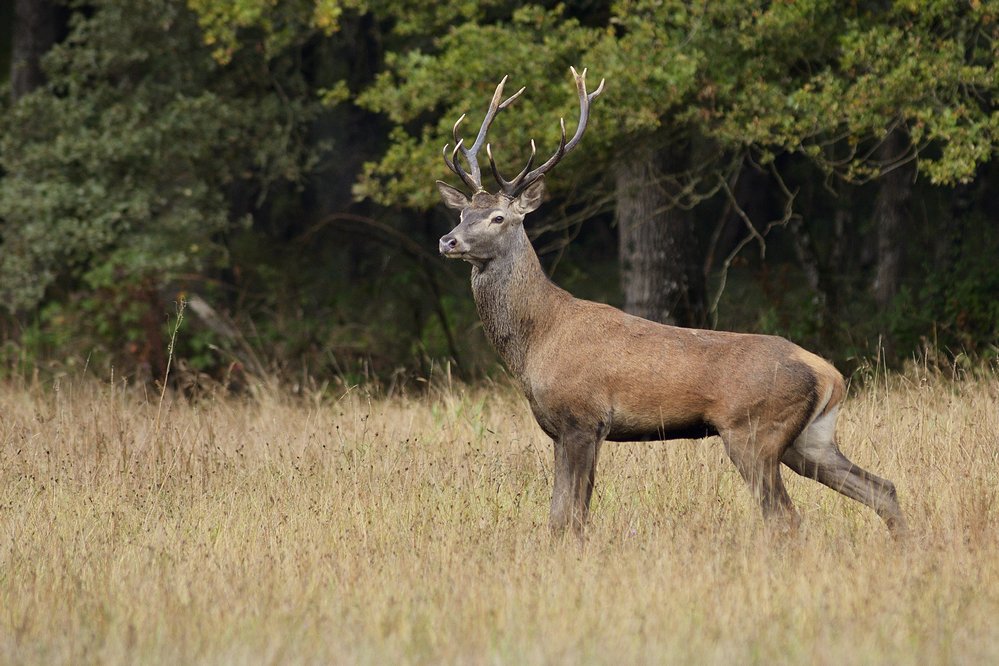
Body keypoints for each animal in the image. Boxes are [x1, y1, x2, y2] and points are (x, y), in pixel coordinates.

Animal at [434, 65, 912, 536]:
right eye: (462, 213)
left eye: (498, 217)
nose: (447, 240)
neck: (536, 341)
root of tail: (831, 375)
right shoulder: (557, 429)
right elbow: (557, 519)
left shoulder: (584, 419)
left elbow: (573, 518)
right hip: (811, 439)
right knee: (882, 488)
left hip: (754, 432)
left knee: (786, 517)